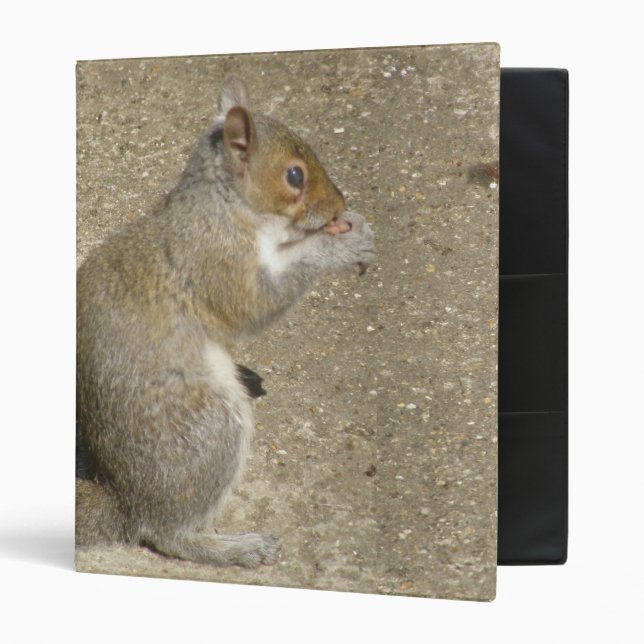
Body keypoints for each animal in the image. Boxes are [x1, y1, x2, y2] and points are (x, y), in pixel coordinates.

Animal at [76, 77, 375, 567]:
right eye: (295, 176)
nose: (339, 205)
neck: (226, 207)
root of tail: (126, 498)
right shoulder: (217, 261)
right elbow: (255, 305)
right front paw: (338, 248)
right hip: (208, 427)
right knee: (168, 533)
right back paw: (235, 547)